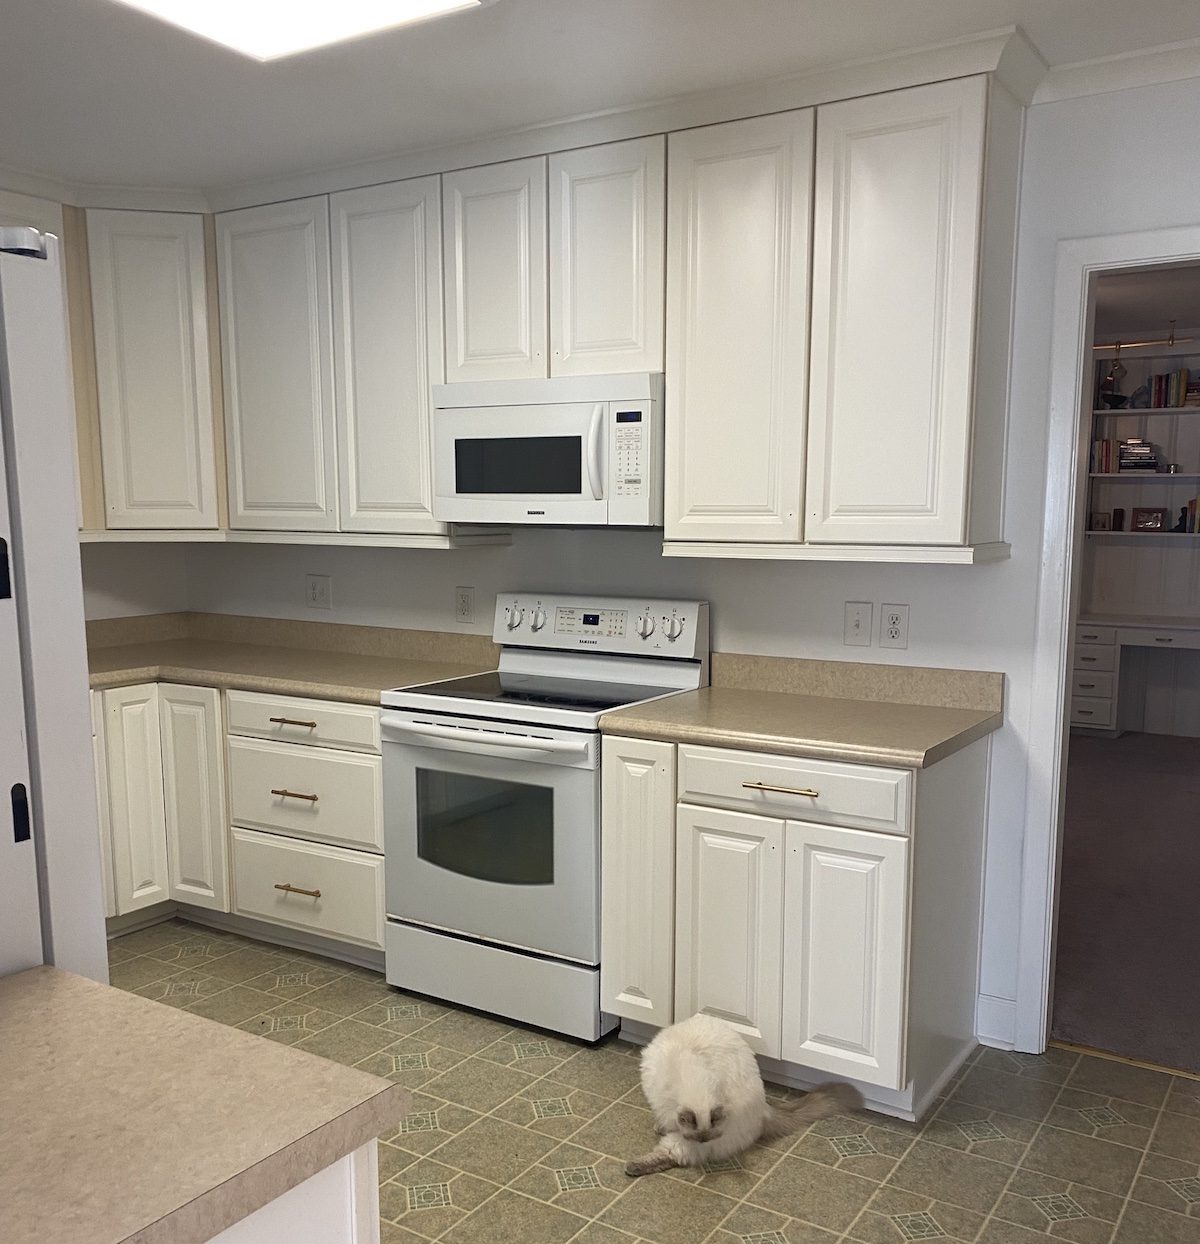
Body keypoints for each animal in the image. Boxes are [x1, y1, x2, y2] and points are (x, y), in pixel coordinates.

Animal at [626, 1010, 860, 1174]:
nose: (702, 1142)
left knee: (671, 1154)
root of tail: (765, 1109)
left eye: (704, 1139)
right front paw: (659, 1126)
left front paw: (660, 1128)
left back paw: (632, 1167)